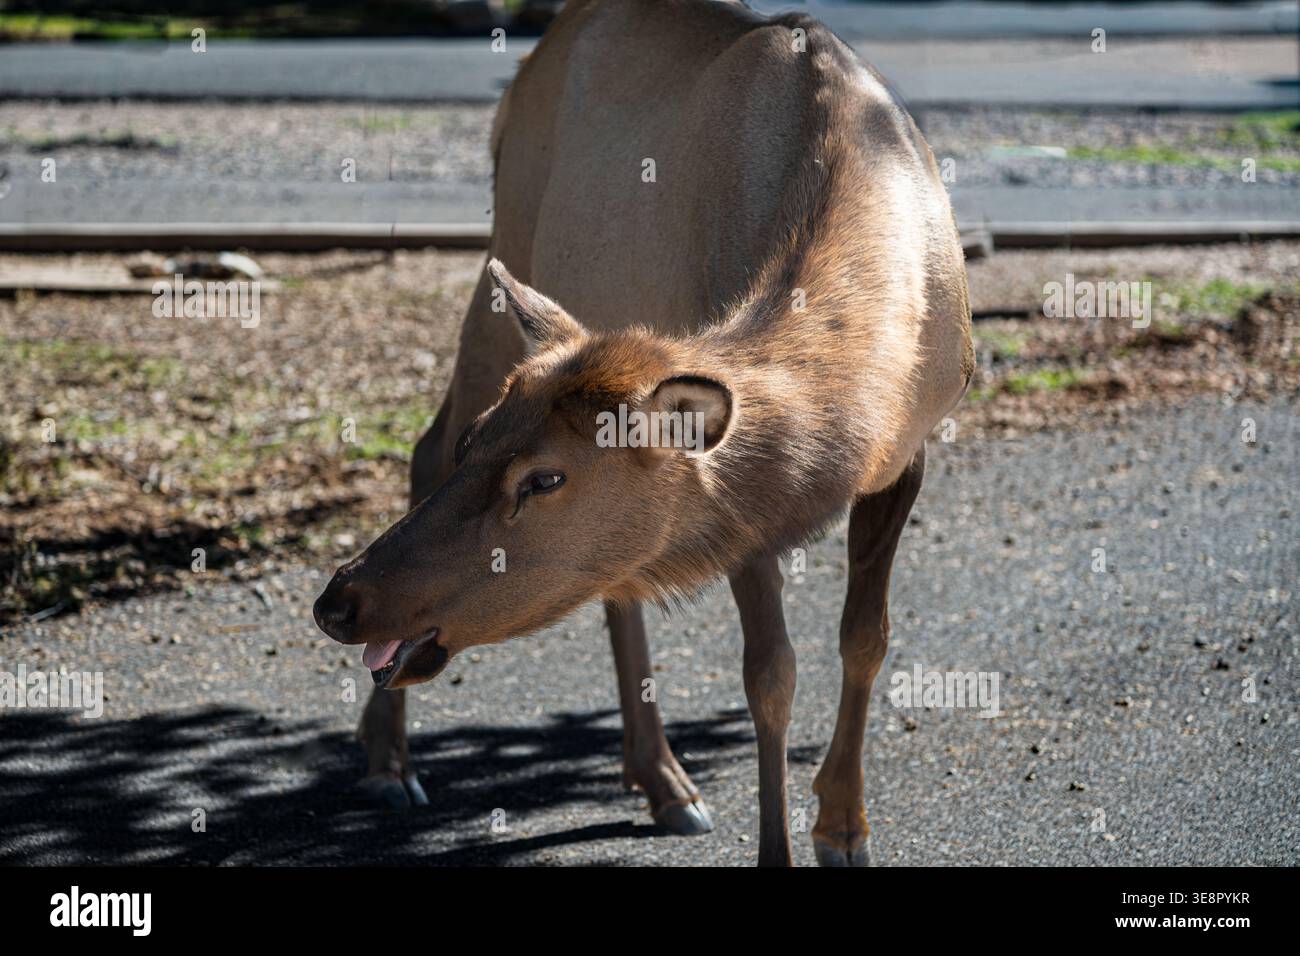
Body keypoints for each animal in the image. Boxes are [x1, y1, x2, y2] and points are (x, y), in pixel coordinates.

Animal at [313, 0, 972, 866]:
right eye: (478, 446)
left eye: (545, 478)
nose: (339, 601)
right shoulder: (744, 504)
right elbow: (771, 676)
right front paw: (784, 847)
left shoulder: (909, 452)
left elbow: (866, 638)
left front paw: (844, 828)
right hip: (506, 247)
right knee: (422, 444)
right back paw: (391, 762)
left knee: (608, 573)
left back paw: (660, 779)